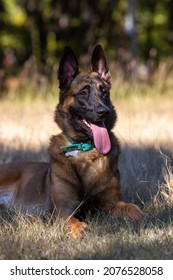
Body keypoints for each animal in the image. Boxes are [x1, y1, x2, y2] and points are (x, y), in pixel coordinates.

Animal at [0, 44, 143, 237]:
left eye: (104, 92)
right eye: (82, 93)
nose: (104, 112)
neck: (85, 149)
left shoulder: (112, 202)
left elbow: (134, 208)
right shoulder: (63, 209)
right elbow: (73, 221)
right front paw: (80, 228)